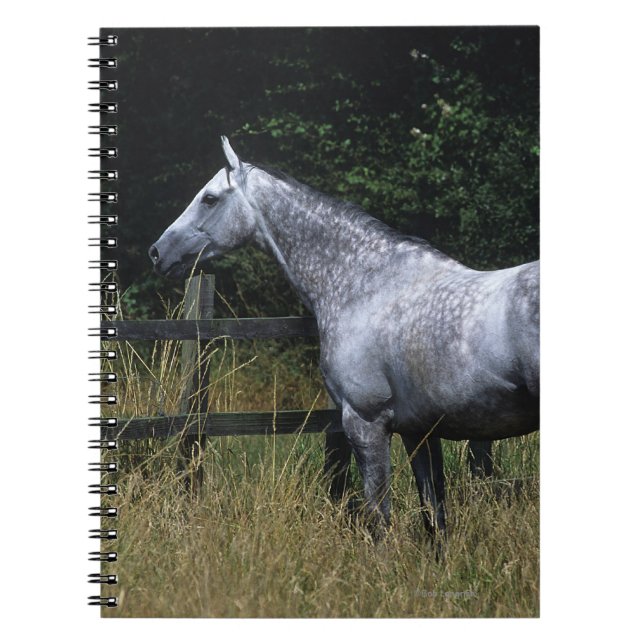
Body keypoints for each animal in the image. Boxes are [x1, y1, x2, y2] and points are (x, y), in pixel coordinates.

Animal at [149, 136, 539, 538]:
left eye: (209, 198)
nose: (157, 252)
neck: (365, 287)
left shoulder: (365, 423)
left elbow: (380, 519)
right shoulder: (419, 432)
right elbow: (434, 518)